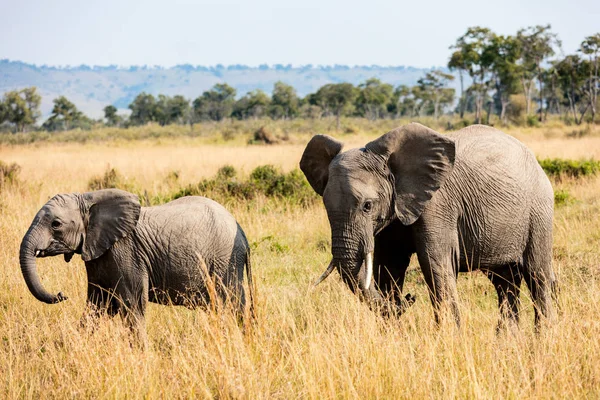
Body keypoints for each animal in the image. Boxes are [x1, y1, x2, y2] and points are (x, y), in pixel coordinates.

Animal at [18, 190, 253, 338]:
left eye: (56, 224)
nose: (61, 295)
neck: (89, 198)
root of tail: (241, 231)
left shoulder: (127, 253)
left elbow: (132, 305)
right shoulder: (98, 255)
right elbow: (97, 305)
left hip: (225, 260)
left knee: (232, 304)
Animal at [300, 123, 556, 330]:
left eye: (367, 206)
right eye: (325, 206)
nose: (408, 299)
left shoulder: (437, 204)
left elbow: (435, 263)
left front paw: (450, 341)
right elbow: (389, 265)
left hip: (539, 210)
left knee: (537, 275)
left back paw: (542, 339)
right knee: (504, 282)